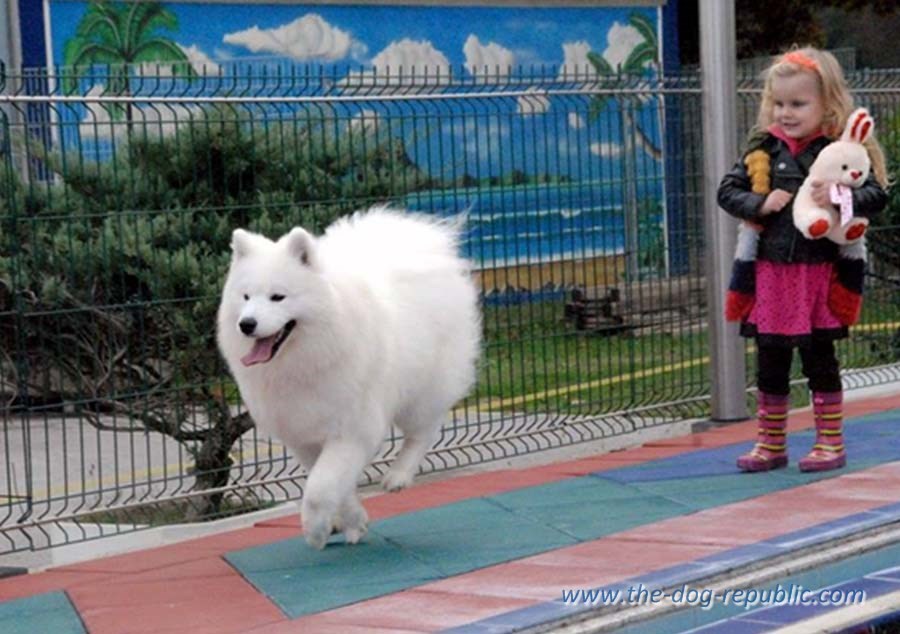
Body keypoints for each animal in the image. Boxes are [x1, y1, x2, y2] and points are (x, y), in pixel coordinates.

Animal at [217, 207, 482, 548]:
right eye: (246, 297)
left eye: (278, 297)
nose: (246, 324)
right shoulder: (304, 434)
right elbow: (335, 486)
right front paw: (352, 521)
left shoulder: (352, 430)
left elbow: (319, 489)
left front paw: (314, 530)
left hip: (420, 393)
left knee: (424, 431)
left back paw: (398, 476)